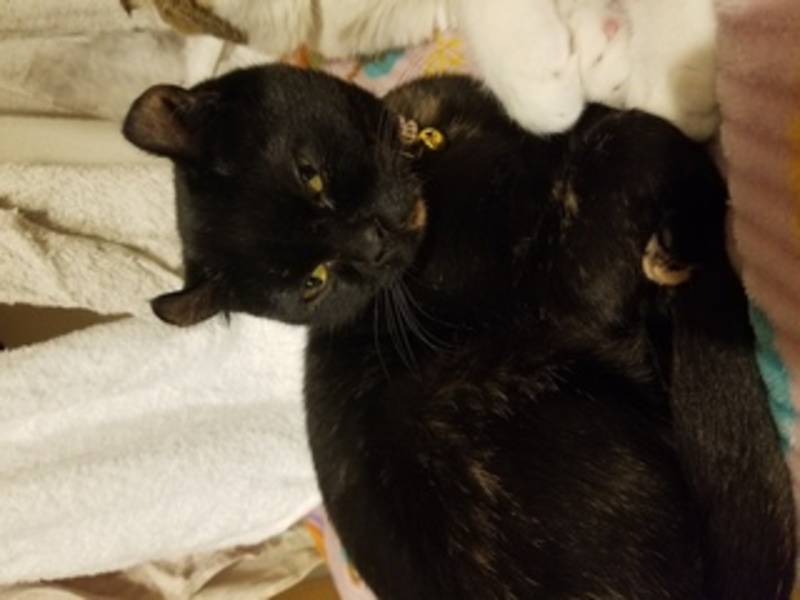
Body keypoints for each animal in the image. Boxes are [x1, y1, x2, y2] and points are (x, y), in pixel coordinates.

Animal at [122, 65, 794, 599]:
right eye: (313, 282)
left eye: (308, 175)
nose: (371, 243)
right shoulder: (573, 284)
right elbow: (635, 139)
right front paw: (671, 224)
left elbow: (597, 129)